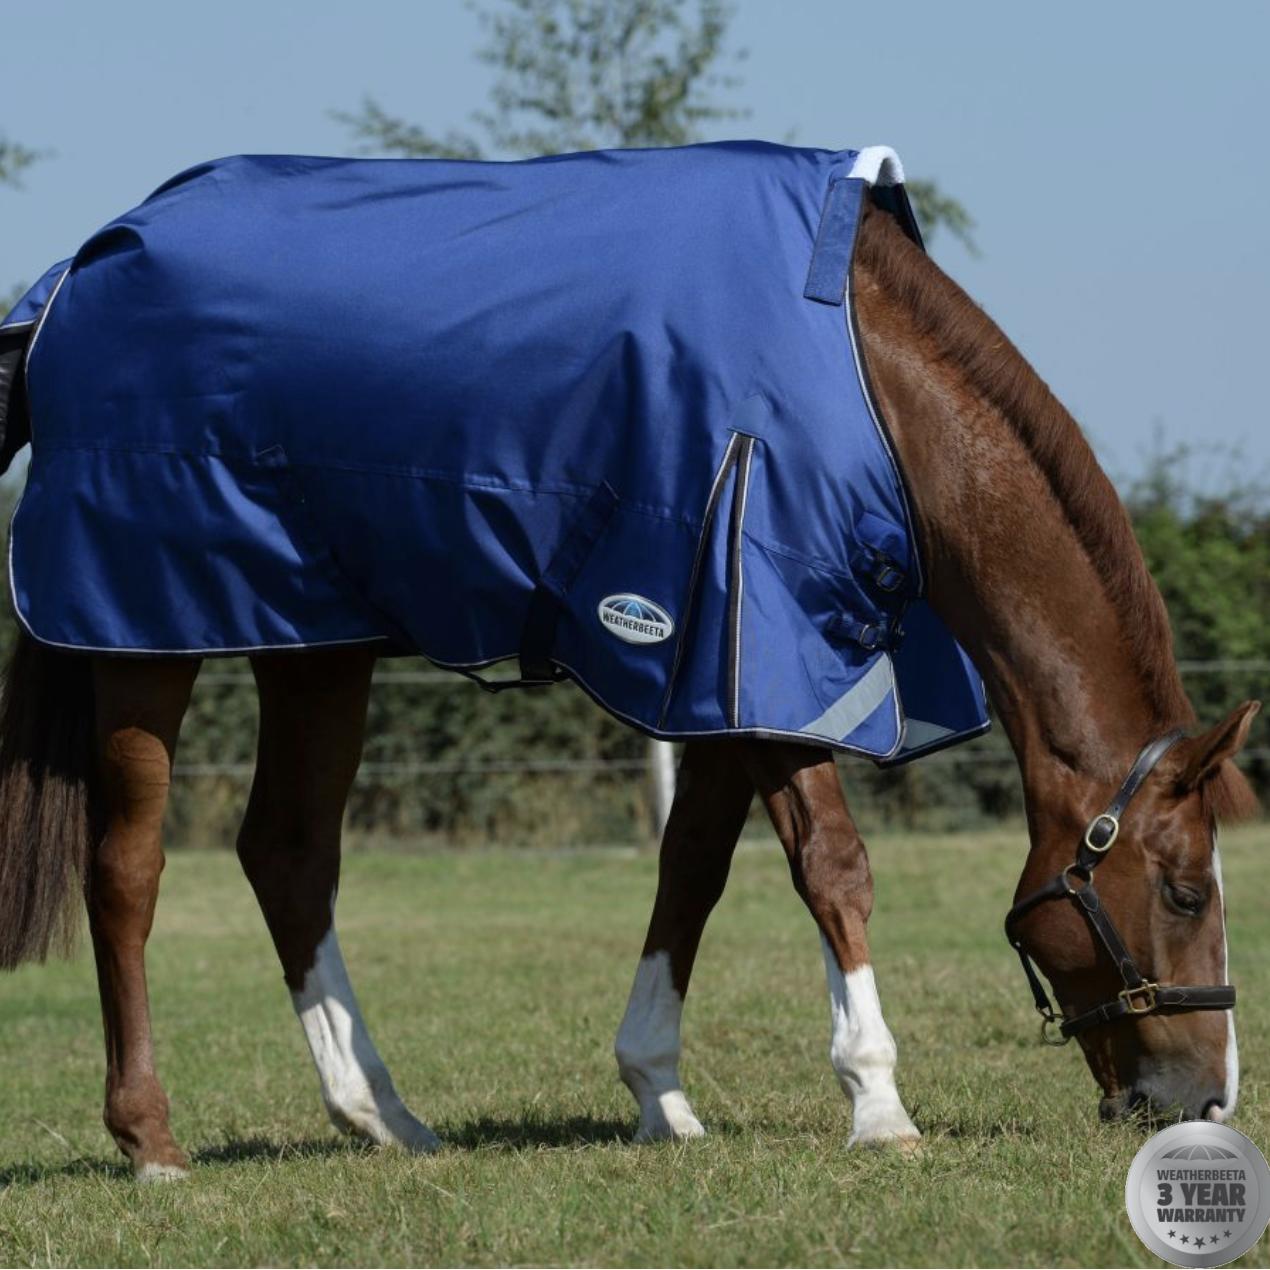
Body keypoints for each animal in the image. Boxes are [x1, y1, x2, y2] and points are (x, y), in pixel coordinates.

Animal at [0, 159, 1258, 1182]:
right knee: (127, 870)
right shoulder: (770, 655)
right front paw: (878, 1103)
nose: (1208, 1100)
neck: (866, 384)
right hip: (144, 633)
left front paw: (657, 1089)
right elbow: (834, 871)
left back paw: (382, 1114)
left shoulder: (727, 678)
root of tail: (80, 272)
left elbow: (689, 871)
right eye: (1185, 892)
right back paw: (151, 1139)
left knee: (289, 854)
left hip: (315, 641)